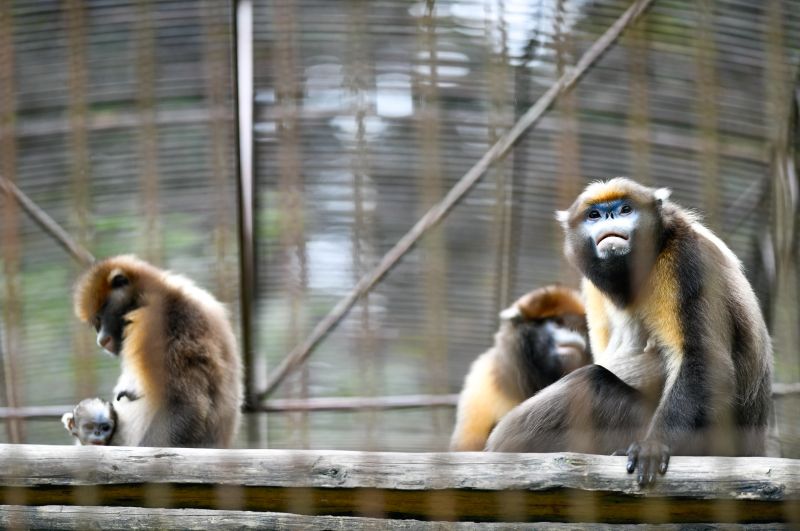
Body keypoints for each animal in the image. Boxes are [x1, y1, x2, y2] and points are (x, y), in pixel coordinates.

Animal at [73, 255, 243, 448]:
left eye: (100, 319)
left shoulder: (157, 322)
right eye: (96, 324)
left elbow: (186, 406)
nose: (101, 340)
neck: (161, 293)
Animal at [486, 178, 772, 486]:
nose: (610, 216)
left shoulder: (687, 260)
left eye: (625, 209)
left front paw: (654, 445)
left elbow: (703, 359)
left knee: (591, 382)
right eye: (594, 215)